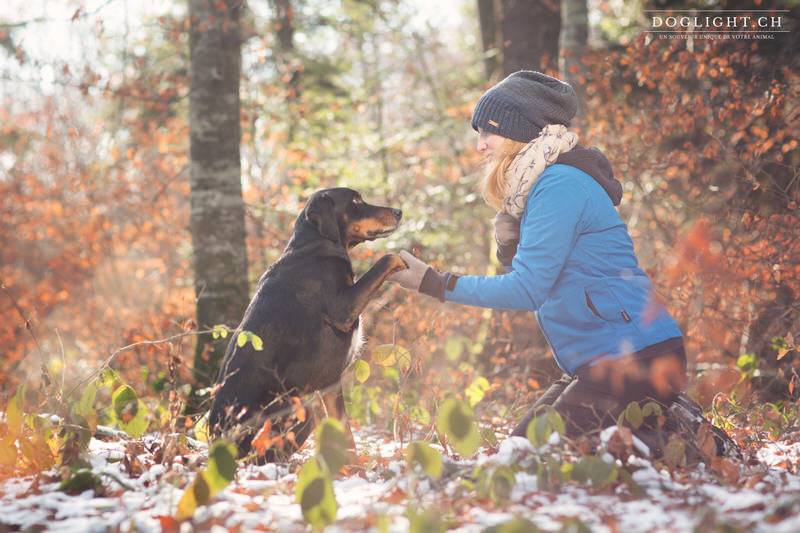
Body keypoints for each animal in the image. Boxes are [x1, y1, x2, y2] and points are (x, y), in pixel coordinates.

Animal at [206, 188, 406, 462]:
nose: (399, 212)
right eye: (355, 200)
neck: (315, 246)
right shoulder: (343, 309)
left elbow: (346, 436)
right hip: (298, 412)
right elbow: (388, 257)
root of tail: (217, 446)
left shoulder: (330, 383)